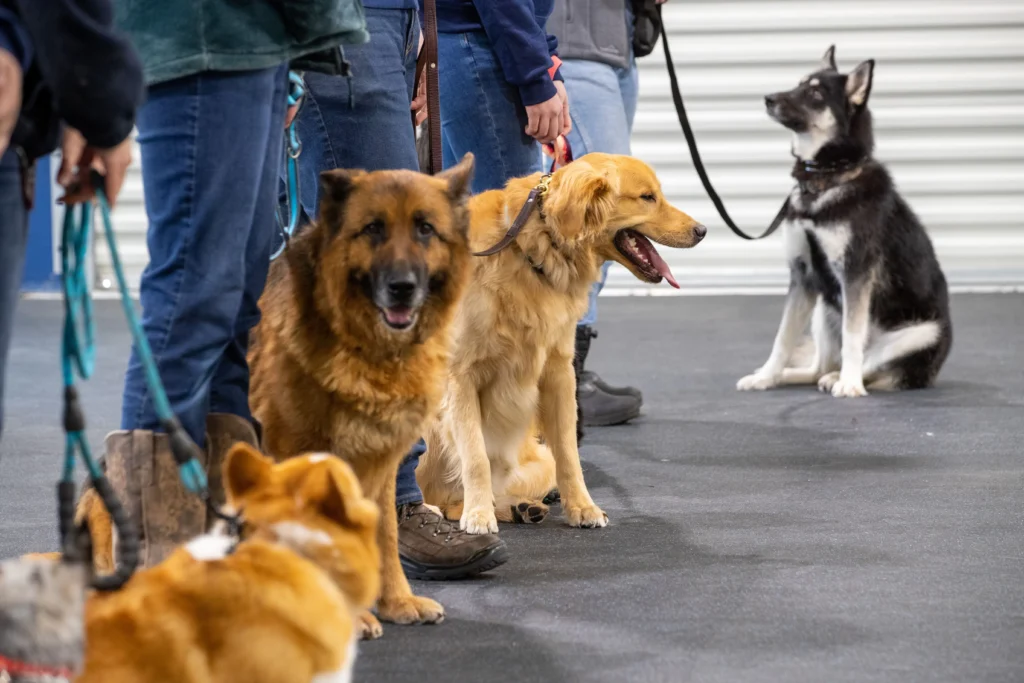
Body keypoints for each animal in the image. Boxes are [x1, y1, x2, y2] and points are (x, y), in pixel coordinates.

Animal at [415, 153, 704, 532]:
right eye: (647, 197)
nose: (702, 230)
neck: (533, 248)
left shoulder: (558, 373)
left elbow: (569, 453)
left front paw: (582, 507)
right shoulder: (460, 376)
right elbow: (475, 457)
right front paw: (478, 515)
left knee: (464, 497)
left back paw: (522, 507)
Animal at [737, 48, 950, 397]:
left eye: (815, 94)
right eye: (798, 84)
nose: (768, 98)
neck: (826, 179)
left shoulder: (855, 274)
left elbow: (853, 338)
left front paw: (849, 384)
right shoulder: (803, 276)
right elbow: (783, 337)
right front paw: (766, 376)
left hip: (921, 333)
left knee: (870, 364)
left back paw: (844, 378)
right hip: (823, 309)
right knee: (819, 367)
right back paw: (799, 375)